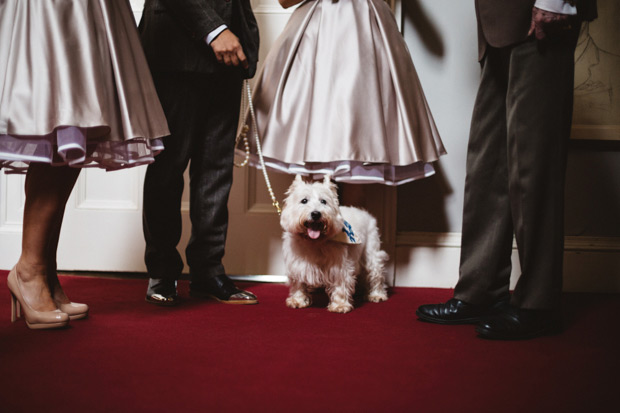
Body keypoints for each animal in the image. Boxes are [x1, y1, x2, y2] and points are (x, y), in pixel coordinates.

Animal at [280, 174, 388, 312]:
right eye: (304, 200)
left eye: (323, 201)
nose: (316, 214)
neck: (314, 242)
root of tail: (366, 214)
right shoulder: (297, 264)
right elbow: (298, 283)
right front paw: (297, 300)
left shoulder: (339, 265)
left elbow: (340, 284)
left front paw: (340, 305)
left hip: (371, 252)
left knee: (375, 273)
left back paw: (376, 295)